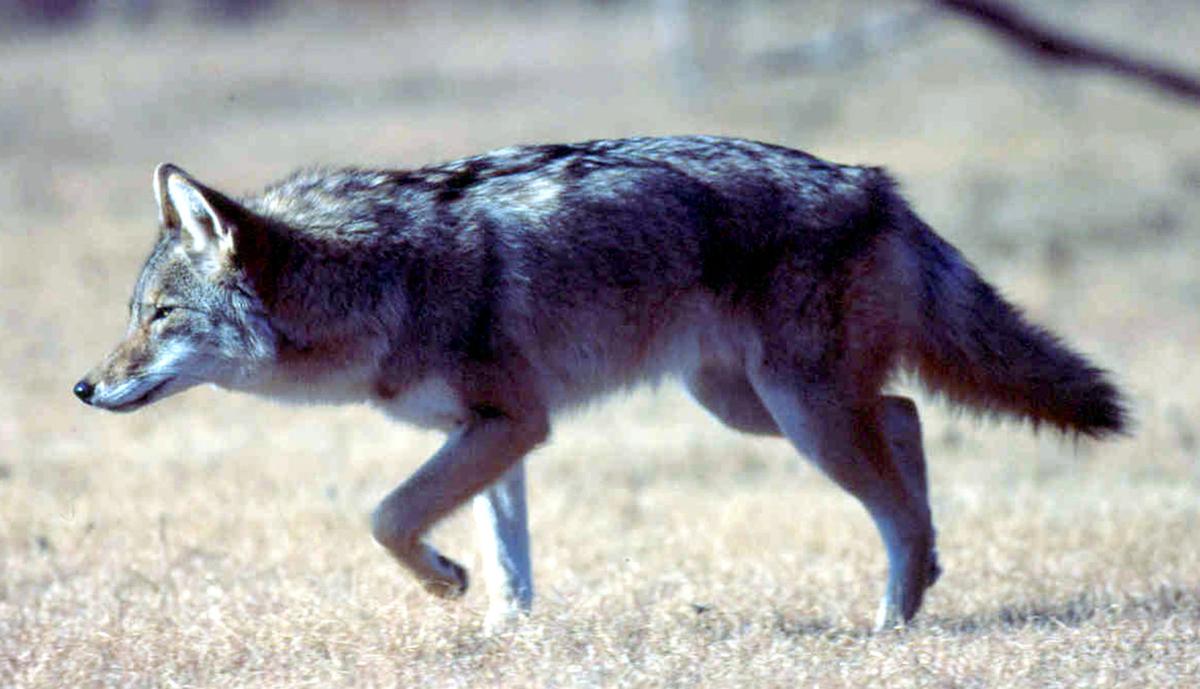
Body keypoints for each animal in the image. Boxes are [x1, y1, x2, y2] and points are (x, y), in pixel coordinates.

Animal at [74, 136, 1126, 630]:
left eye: (159, 317)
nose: (83, 388)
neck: (378, 276)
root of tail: (872, 182)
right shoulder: (491, 432)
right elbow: (509, 556)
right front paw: (505, 633)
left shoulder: (513, 422)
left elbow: (387, 516)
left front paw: (447, 584)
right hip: (752, 406)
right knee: (906, 416)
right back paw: (925, 578)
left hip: (801, 411)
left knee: (897, 476)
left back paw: (890, 623)